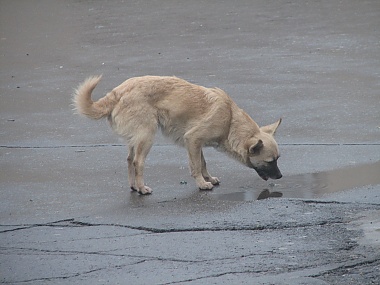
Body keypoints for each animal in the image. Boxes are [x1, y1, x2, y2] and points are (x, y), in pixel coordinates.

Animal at [73, 75, 282, 194]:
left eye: (278, 159)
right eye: (270, 161)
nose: (280, 176)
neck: (230, 119)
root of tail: (117, 92)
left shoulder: (196, 144)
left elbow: (202, 163)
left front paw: (208, 178)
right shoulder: (193, 139)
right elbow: (196, 166)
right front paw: (202, 184)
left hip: (136, 139)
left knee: (129, 160)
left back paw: (133, 186)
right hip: (147, 137)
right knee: (137, 162)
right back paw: (141, 188)